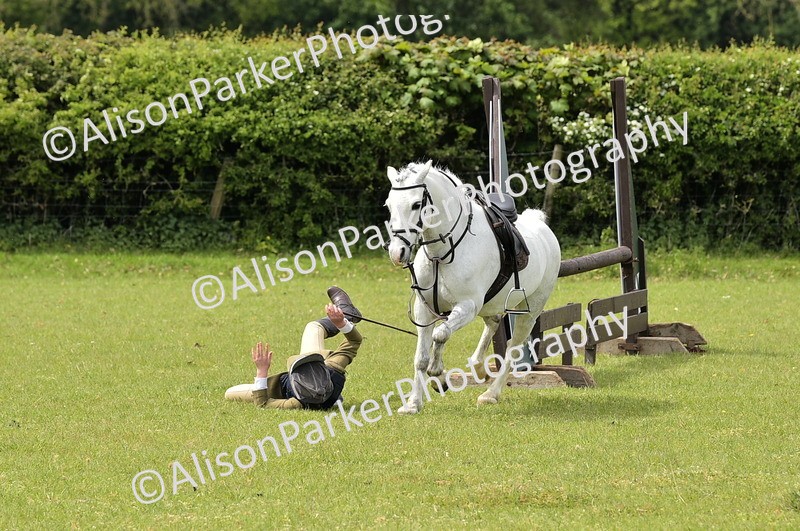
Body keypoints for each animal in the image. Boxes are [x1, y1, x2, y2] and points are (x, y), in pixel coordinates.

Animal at [384, 160, 561, 414]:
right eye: (389, 205)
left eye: (417, 204)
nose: (397, 253)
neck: (443, 253)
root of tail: (541, 225)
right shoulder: (424, 310)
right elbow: (421, 357)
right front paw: (413, 403)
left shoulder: (467, 306)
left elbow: (440, 335)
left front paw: (438, 375)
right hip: (492, 304)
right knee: (493, 323)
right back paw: (478, 367)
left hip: (530, 310)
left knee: (513, 347)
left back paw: (490, 394)